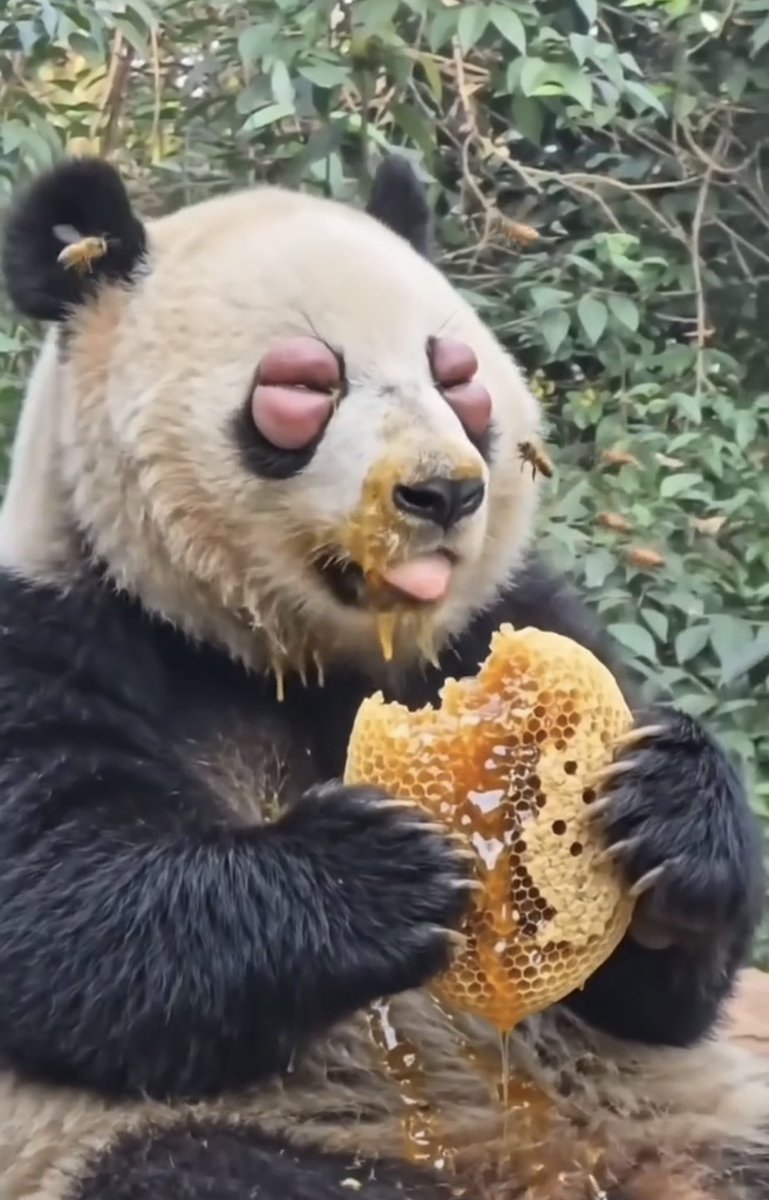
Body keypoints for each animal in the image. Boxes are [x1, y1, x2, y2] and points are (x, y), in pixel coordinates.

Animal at [0, 154, 766, 1200]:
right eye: (304, 385)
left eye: (457, 377)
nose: (442, 492)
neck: (294, 653)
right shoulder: (51, 621)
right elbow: (61, 899)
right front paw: (380, 870)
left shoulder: (509, 614)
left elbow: (651, 997)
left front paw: (663, 807)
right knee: (192, 1167)